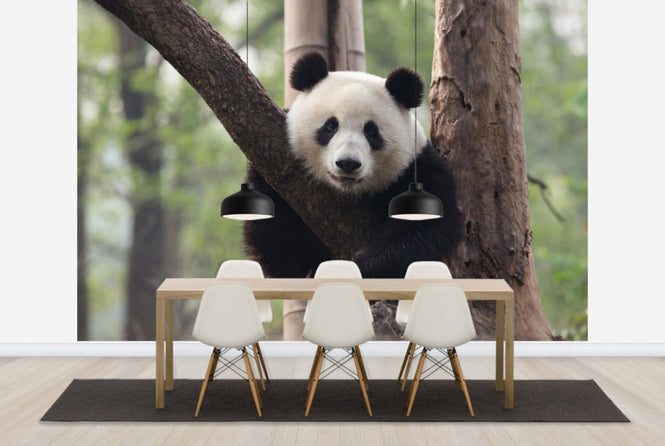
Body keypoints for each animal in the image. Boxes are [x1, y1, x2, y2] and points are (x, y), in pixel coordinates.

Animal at [244, 53, 462, 335]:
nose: (348, 163)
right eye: (330, 126)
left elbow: (429, 229)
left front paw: (357, 270)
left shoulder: (417, 170)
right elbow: (284, 258)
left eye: (371, 131)